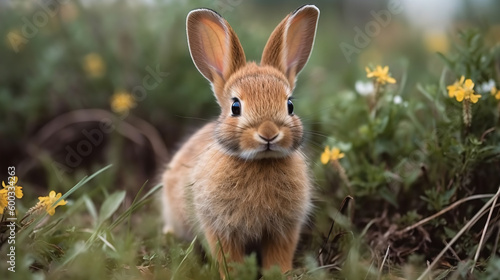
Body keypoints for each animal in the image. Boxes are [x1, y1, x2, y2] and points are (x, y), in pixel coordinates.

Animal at [162, 4, 322, 274]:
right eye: (235, 107)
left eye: (290, 105)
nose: (268, 133)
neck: (260, 162)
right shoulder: (219, 227)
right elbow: (228, 257)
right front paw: (235, 274)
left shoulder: (285, 229)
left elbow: (279, 256)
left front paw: (280, 274)